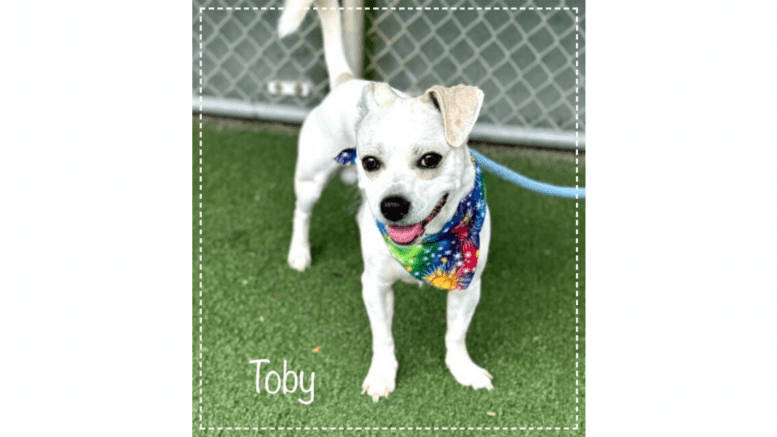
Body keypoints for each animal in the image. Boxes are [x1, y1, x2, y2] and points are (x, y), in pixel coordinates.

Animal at [278, 0, 492, 402]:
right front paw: (381, 375)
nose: (391, 206)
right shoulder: (374, 285)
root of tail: (347, 79)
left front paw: (463, 369)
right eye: (370, 162)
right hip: (310, 179)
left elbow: (456, 335)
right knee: (302, 213)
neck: (429, 247)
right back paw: (299, 252)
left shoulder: (469, 288)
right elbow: (383, 338)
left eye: (430, 159)